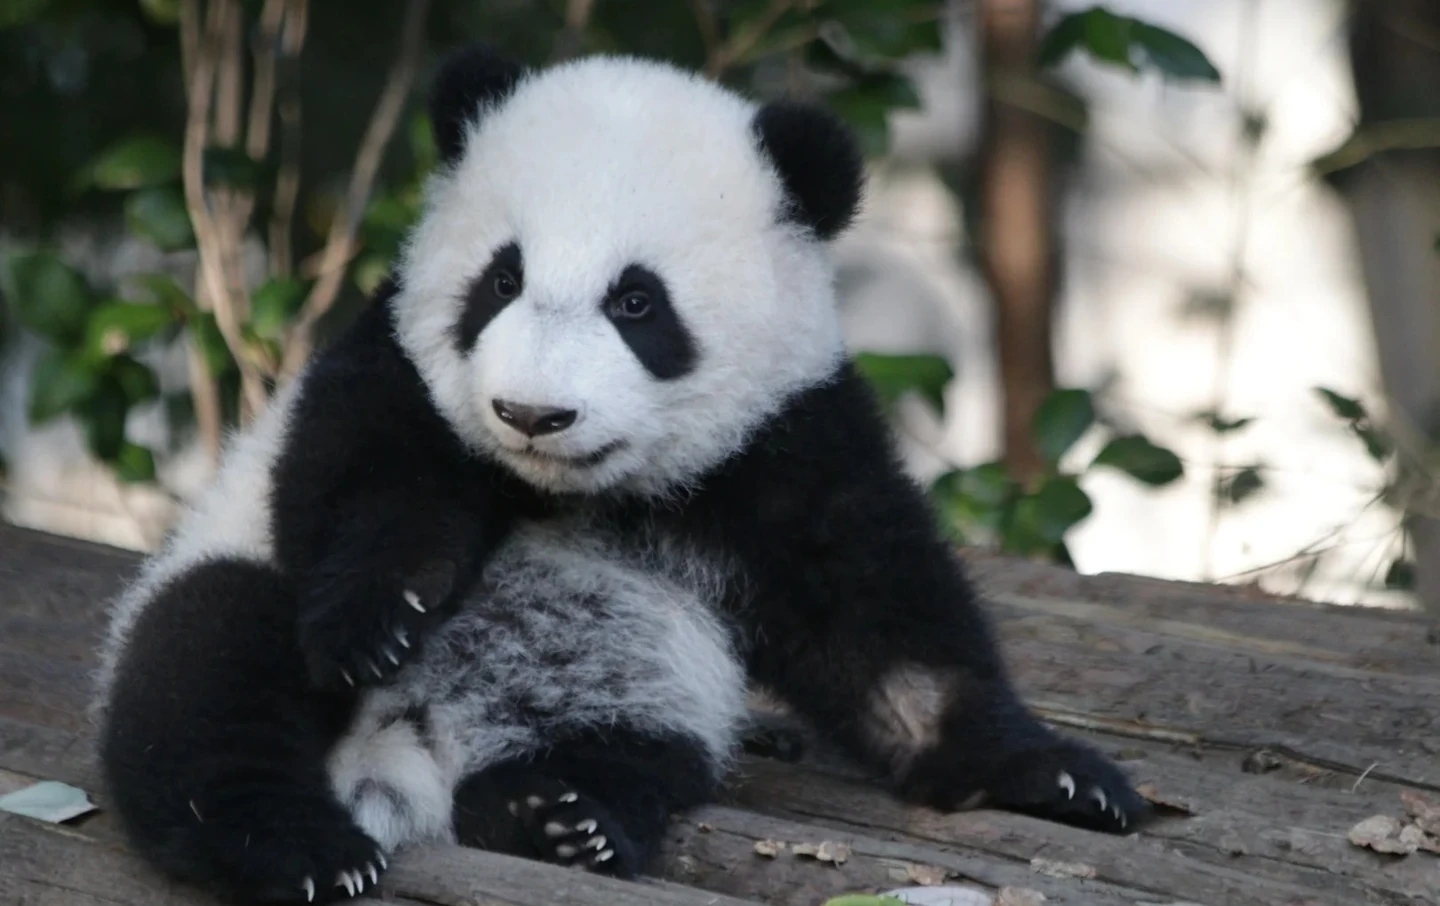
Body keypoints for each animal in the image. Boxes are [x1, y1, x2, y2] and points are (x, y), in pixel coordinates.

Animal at [94, 43, 1149, 906]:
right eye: (502, 280)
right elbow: (354, 481)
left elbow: (880, 621)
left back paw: (553, 817)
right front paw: (374, 618)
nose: (531, 414)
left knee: (638, 756)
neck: (572, 489)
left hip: (644, 697)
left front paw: (1054, 775)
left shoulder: (785, 433)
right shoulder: (390, 366)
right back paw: (302, 847)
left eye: (637, 303)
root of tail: (404, 760)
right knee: (206, 671)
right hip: (227, 593)